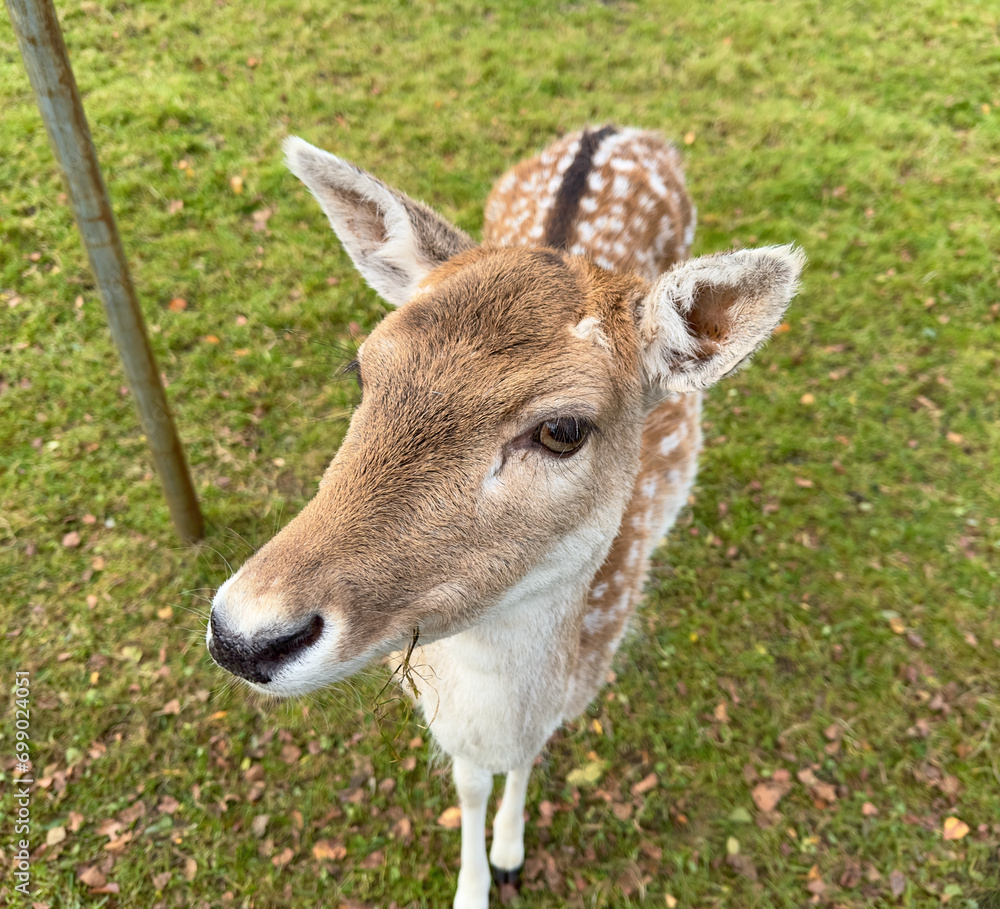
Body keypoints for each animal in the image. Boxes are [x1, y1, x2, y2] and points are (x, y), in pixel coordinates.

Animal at [207, 124, 800, 904]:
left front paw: (511, 855)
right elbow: (468, 782)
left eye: (563, 429)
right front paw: (474, 882)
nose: (243, 635)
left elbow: (525, 761)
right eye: (363, 368)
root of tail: (617, 130)